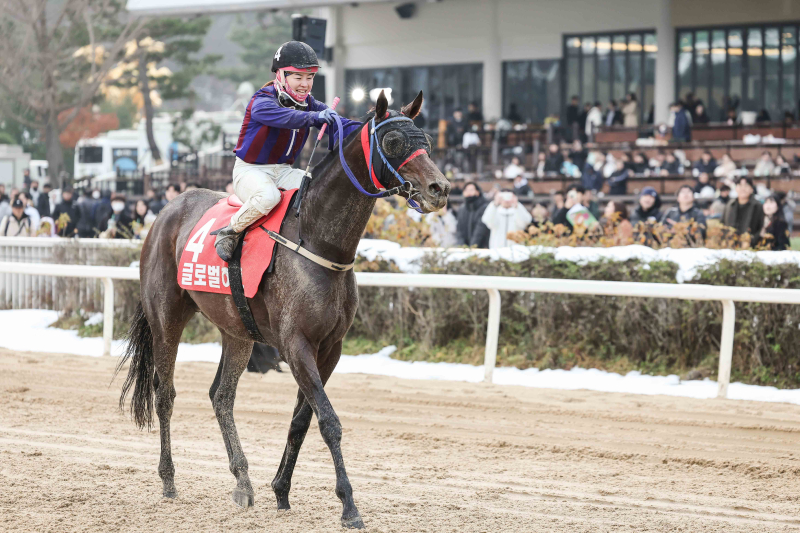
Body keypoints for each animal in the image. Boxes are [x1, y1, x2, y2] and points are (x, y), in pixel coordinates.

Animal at [115, 89, 450, 524]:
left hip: (237, 330)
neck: (319, 242)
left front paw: (281, 490)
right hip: (167, 316)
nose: (439, 188)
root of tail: (165, 213)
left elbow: (302, 420)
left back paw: (243, 481)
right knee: (165, 393)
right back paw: (169, 480)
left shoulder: (330, 348)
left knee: (221, 396)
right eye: (393, 141)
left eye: (425, 138)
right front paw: (349, 505)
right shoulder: (296, 345)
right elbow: (329, 420)